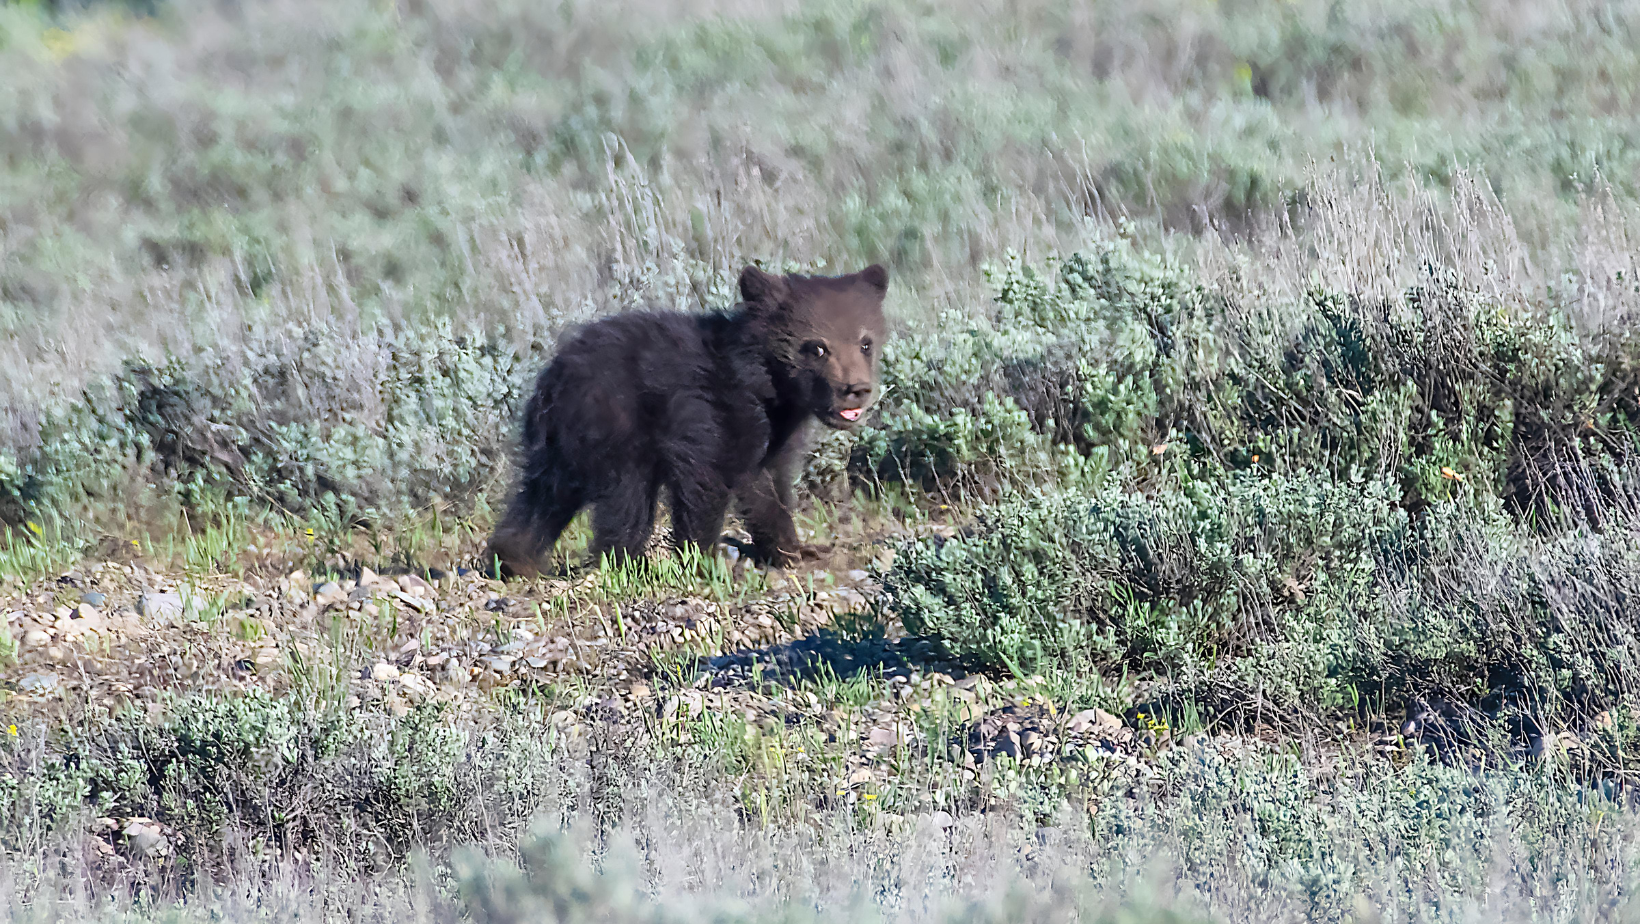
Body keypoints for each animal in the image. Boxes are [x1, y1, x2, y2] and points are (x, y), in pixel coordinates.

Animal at [484, 264, 889, 578]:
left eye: (865, 343)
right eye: (817, 347)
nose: (855, 390)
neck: (766, 384)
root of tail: (552, 376)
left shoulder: (779, 432)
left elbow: (773, 480)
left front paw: (794, 549)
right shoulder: (711, 413)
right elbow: (713, 479)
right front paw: (706, 558)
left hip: (563, 442)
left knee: (545, 494)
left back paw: (515, 559)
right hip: (614, 423)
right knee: (626, 497)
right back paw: (627, 562)